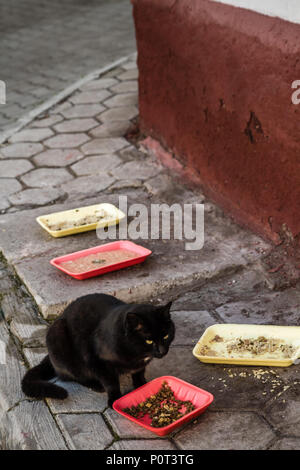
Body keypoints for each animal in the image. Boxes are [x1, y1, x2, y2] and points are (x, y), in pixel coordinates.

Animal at [21, 294, 173, 408]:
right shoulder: (96, 361)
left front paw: (142, 386)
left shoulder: (140, 365)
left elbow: (139, 373)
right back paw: (95, 385)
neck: (137, 354)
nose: (162, 351)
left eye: (166, 336)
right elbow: (110, 382)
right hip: (58, 337)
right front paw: (114, 399)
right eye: (149, 341)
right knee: (71, 376)